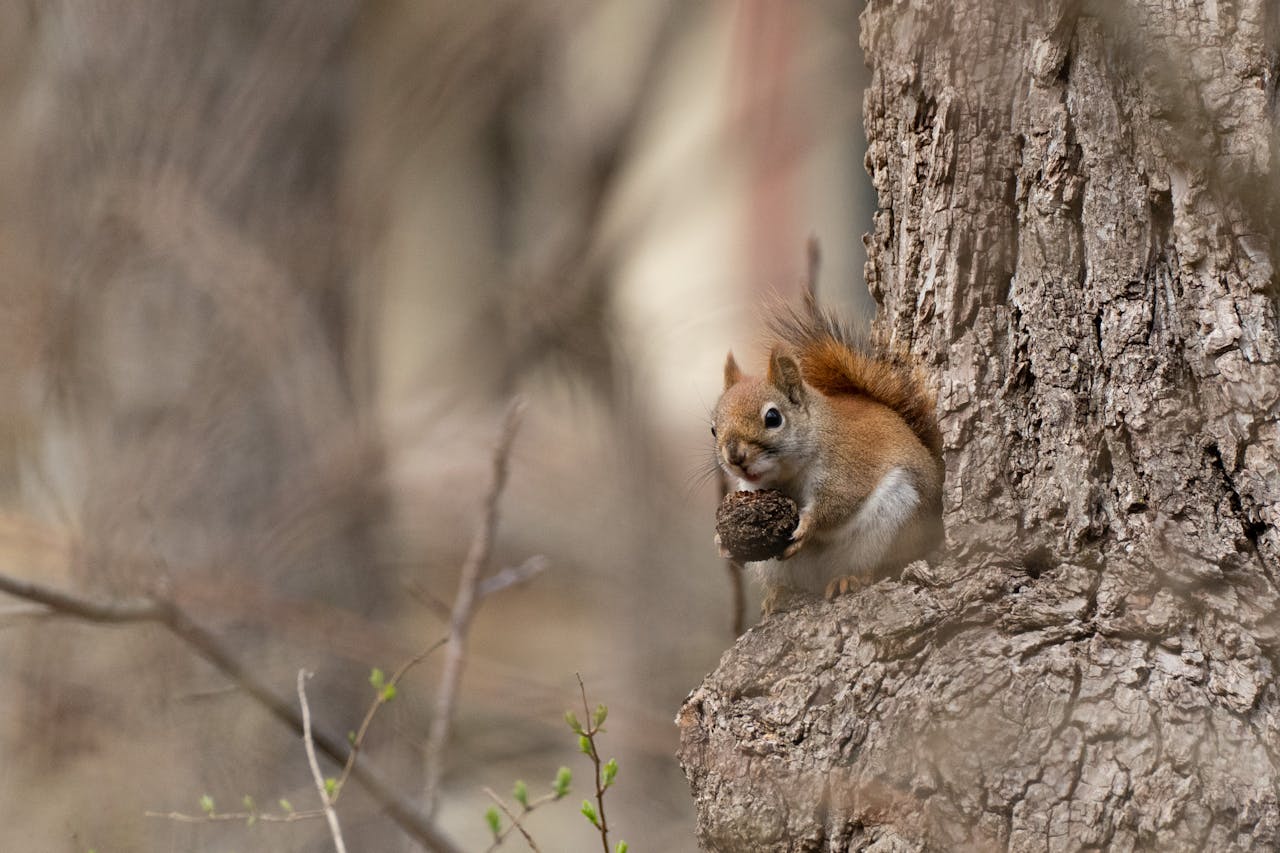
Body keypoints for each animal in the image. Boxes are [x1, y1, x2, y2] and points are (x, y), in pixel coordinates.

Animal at [711, 306, 942, 612]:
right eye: (713, 429)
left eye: (773, 418)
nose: (735, 457)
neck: (787, 474)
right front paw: (722, 542)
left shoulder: (846, 466)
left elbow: (837, 504)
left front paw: (807, 525)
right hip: (779, 566)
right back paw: (779, 594)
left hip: (895, 516)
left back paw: (850, 577)